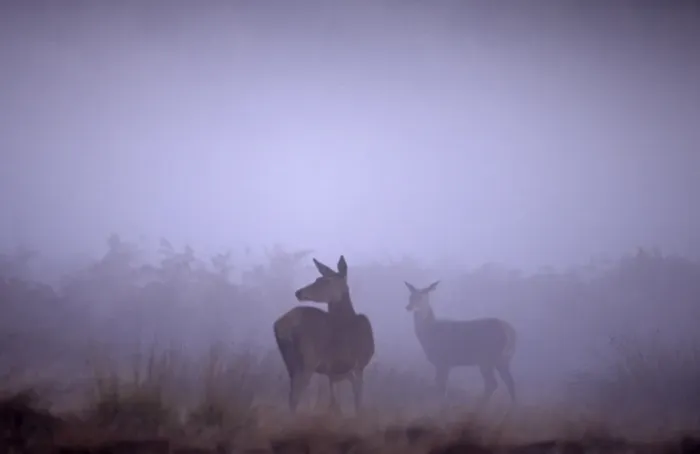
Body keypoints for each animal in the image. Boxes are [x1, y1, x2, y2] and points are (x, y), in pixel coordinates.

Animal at [273, 255, 375, 414]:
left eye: (325, 280)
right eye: (318, 279)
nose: (299, 292)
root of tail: (282, 326)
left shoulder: (334, 371)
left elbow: (334, 393)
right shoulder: (360, 363)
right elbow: (358, 397)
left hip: (289, 361)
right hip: (308, 359)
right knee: (296, 395)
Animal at [403, 280, 517, 408]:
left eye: (421, 297)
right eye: (410, 296)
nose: (408, 307)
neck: (430, 333)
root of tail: (511, 333)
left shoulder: (442, 360)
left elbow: (442, 386)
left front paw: (442, 405)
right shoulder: (444, 363)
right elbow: (441, 384)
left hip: (487, 357)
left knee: (492, 383)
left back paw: (479, 406)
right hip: (504, 358)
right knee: (509, 381)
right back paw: (512, 406)